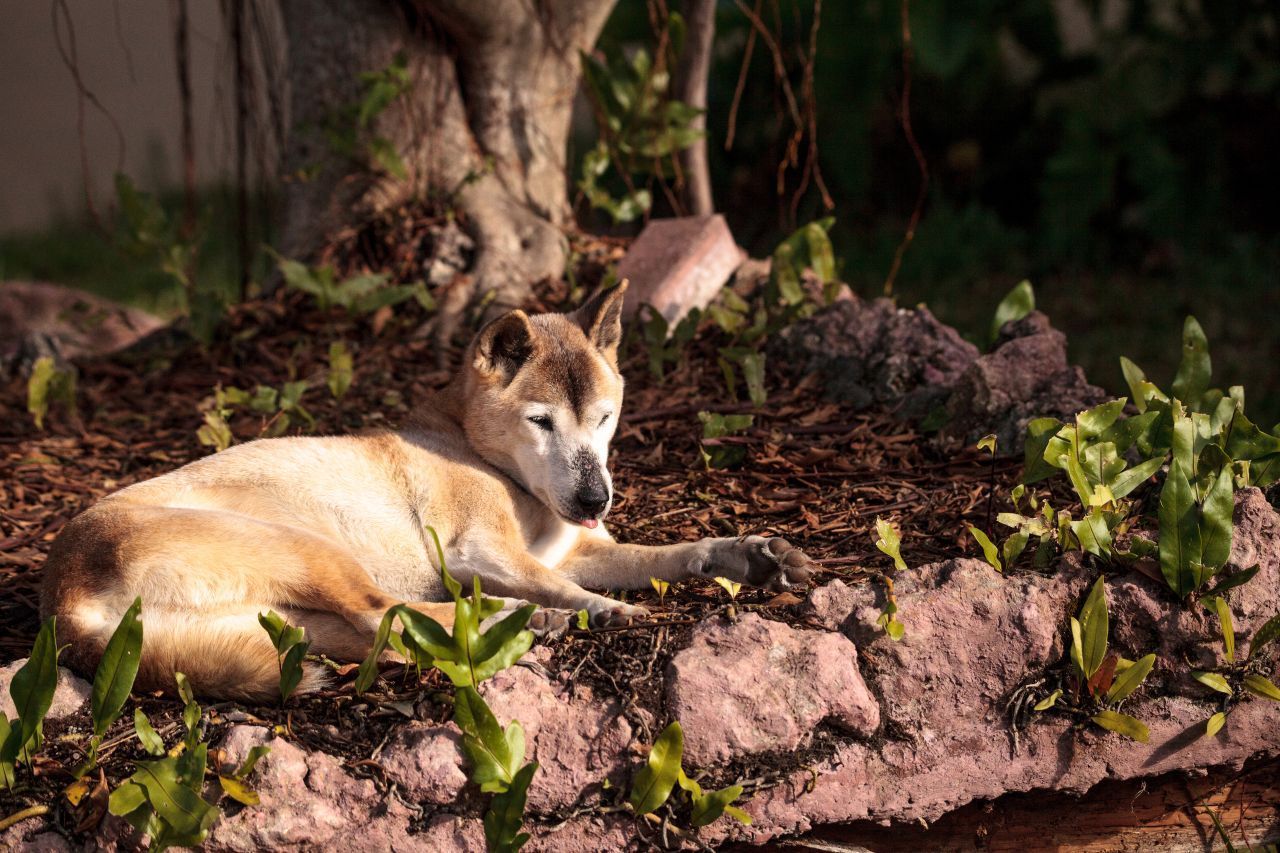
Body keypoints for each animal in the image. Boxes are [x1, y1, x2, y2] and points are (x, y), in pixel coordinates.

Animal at [47, 281, 819, 696]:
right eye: (541, 421)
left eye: (604, 418)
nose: (595, 500)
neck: (483, 451)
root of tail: (62, 602)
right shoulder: (483, 551)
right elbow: (567, 583)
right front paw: (605, 609)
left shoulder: (578, 547)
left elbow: (666, 555)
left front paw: (747, 552)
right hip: (307, 547)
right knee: (386, 610)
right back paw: (534, 620)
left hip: (284, 621)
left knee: (383, 626)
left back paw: (521, 621)